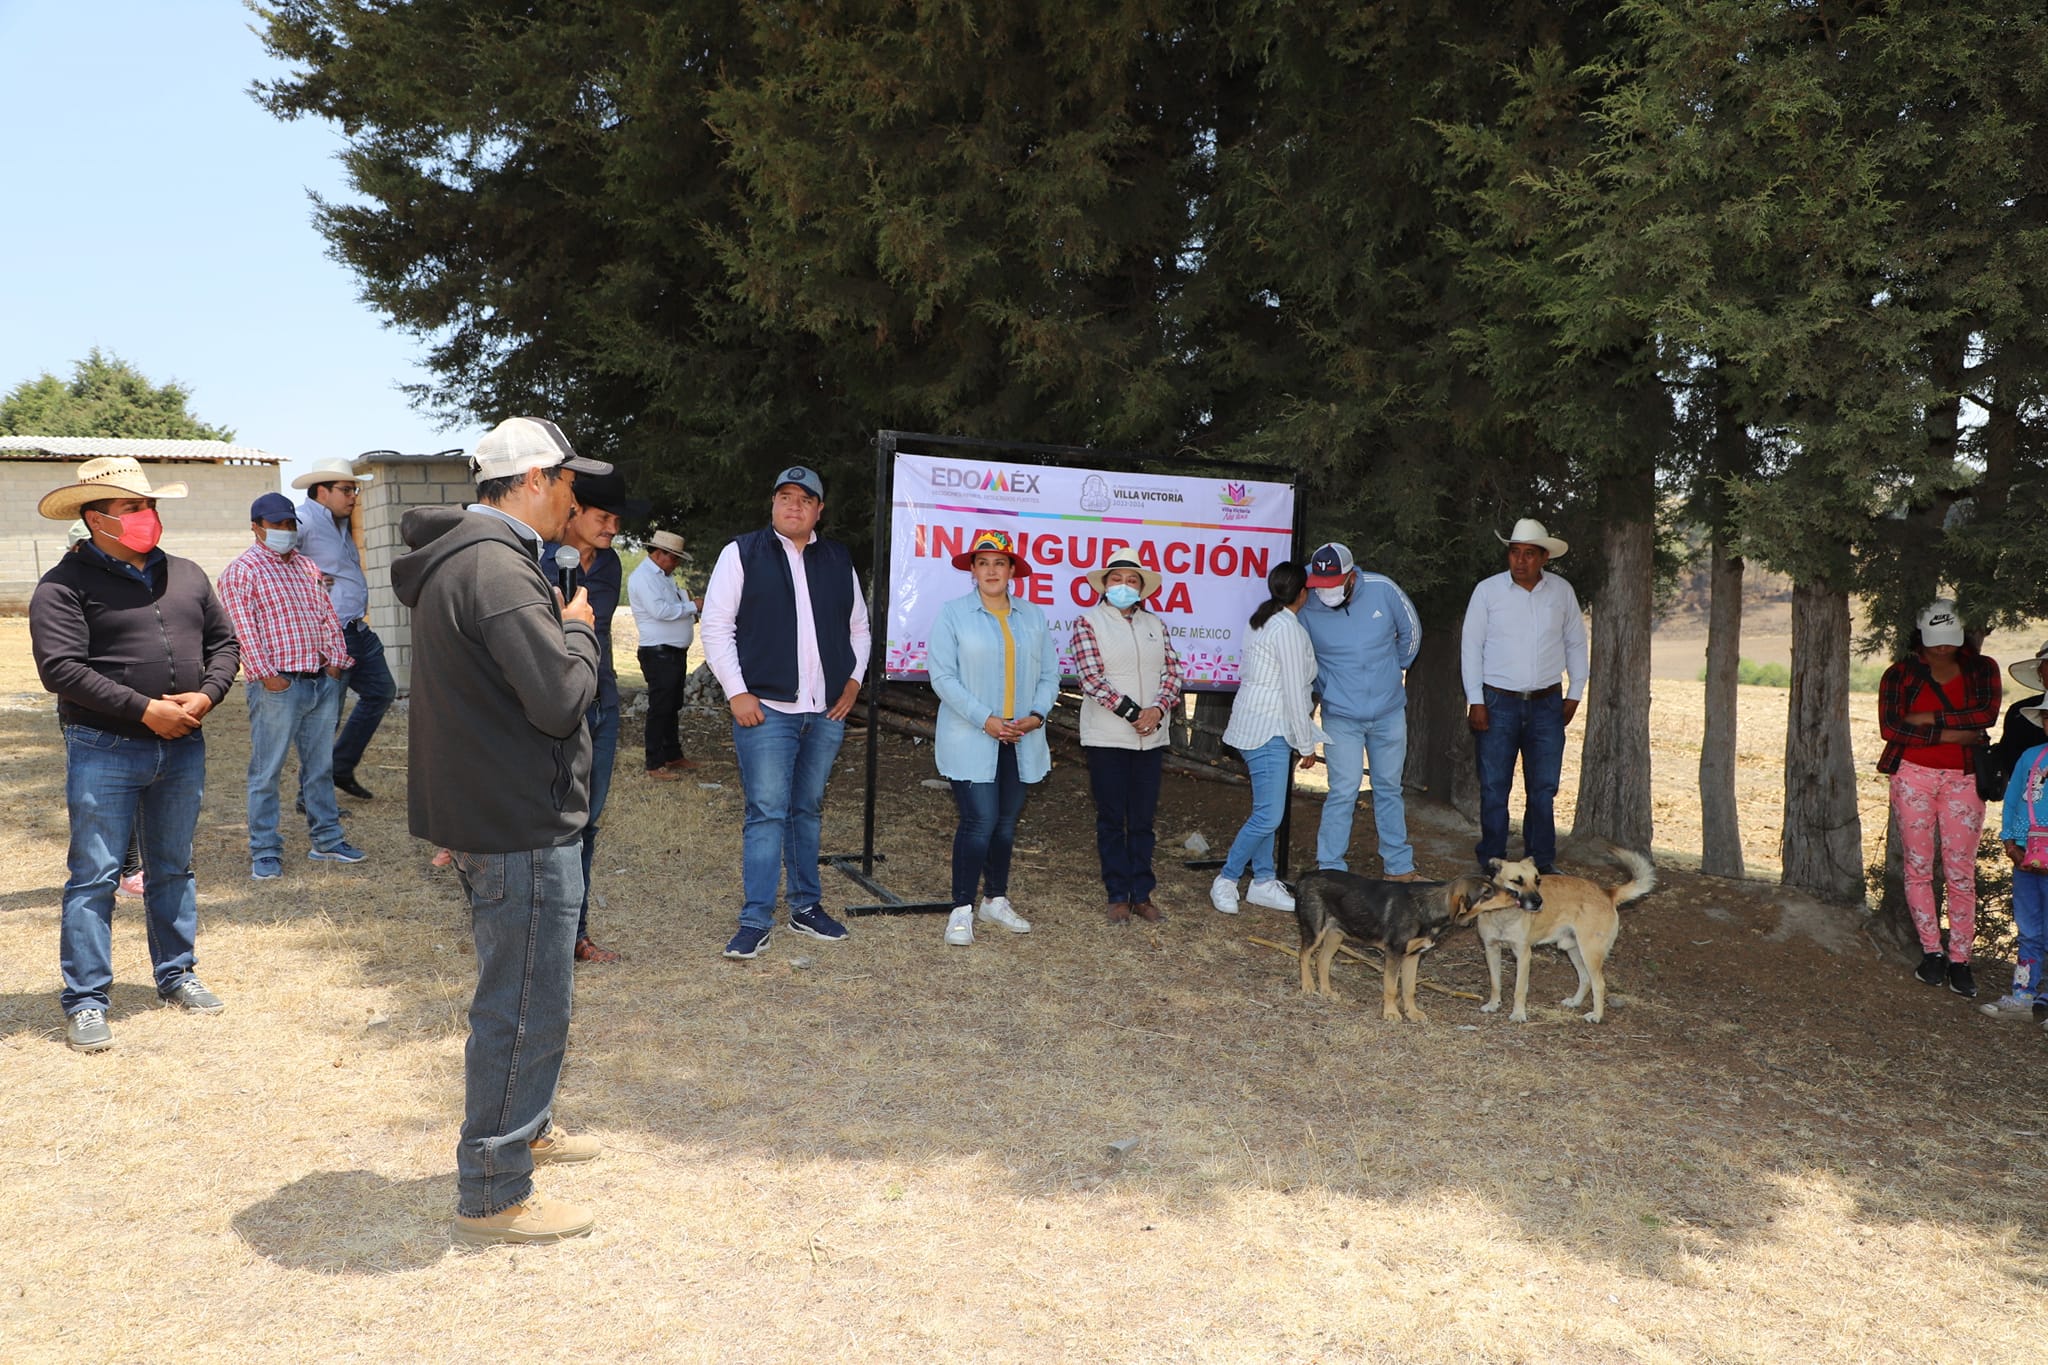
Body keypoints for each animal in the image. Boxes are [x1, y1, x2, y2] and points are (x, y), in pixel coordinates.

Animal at [1294, 871, 1523, 1019]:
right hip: (1315, 930)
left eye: (1493, 883)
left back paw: (1326, 991)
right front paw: (1391, 1013)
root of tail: (1305, 877)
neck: (1427, 908)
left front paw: (1412, 1013)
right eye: (1486, 892)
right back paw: (1307, 986)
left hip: (1336, 934)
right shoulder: (1394, 954)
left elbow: (1409, 988)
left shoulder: (1413, 956)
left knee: (1322, 960)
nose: (1516, 894)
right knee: (1304, 954)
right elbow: (1391, 988)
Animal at [1482, 843, 1654, 1023]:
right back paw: (1575, 1002)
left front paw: (1518, 1014)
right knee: (1585, 979)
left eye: (1538, 881)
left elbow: (1520, 989)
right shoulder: (1491, 950)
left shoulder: (1523, 955)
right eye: (1517, 881)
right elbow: (1495, 983)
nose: (1539, 902)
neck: (1503, 915)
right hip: (1574, 951)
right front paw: (1493, 1004)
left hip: (1590, 953)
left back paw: (1596, 1015)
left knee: (1599, 984)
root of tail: (1608, 893)